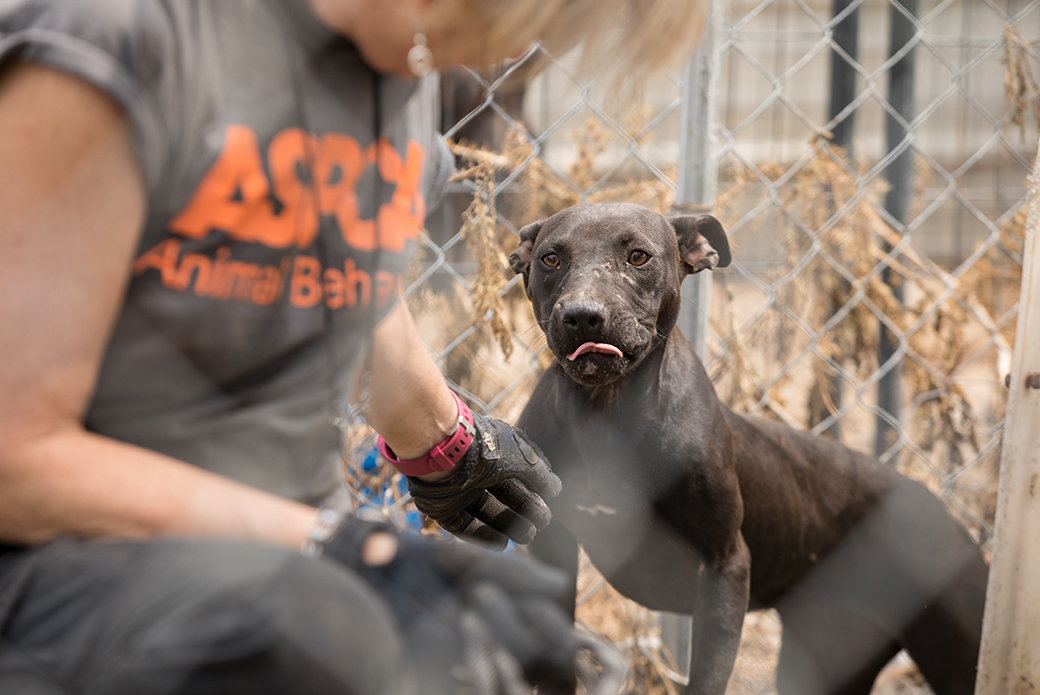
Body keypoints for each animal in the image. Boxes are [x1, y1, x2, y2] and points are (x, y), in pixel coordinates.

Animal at [507, 201, 985, 695]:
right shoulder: (555, 553)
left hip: (957, 654)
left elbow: (706, 677)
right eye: (549, 259)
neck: (604, 415)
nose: (583, 315)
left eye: (638, 257)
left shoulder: (725, 566)